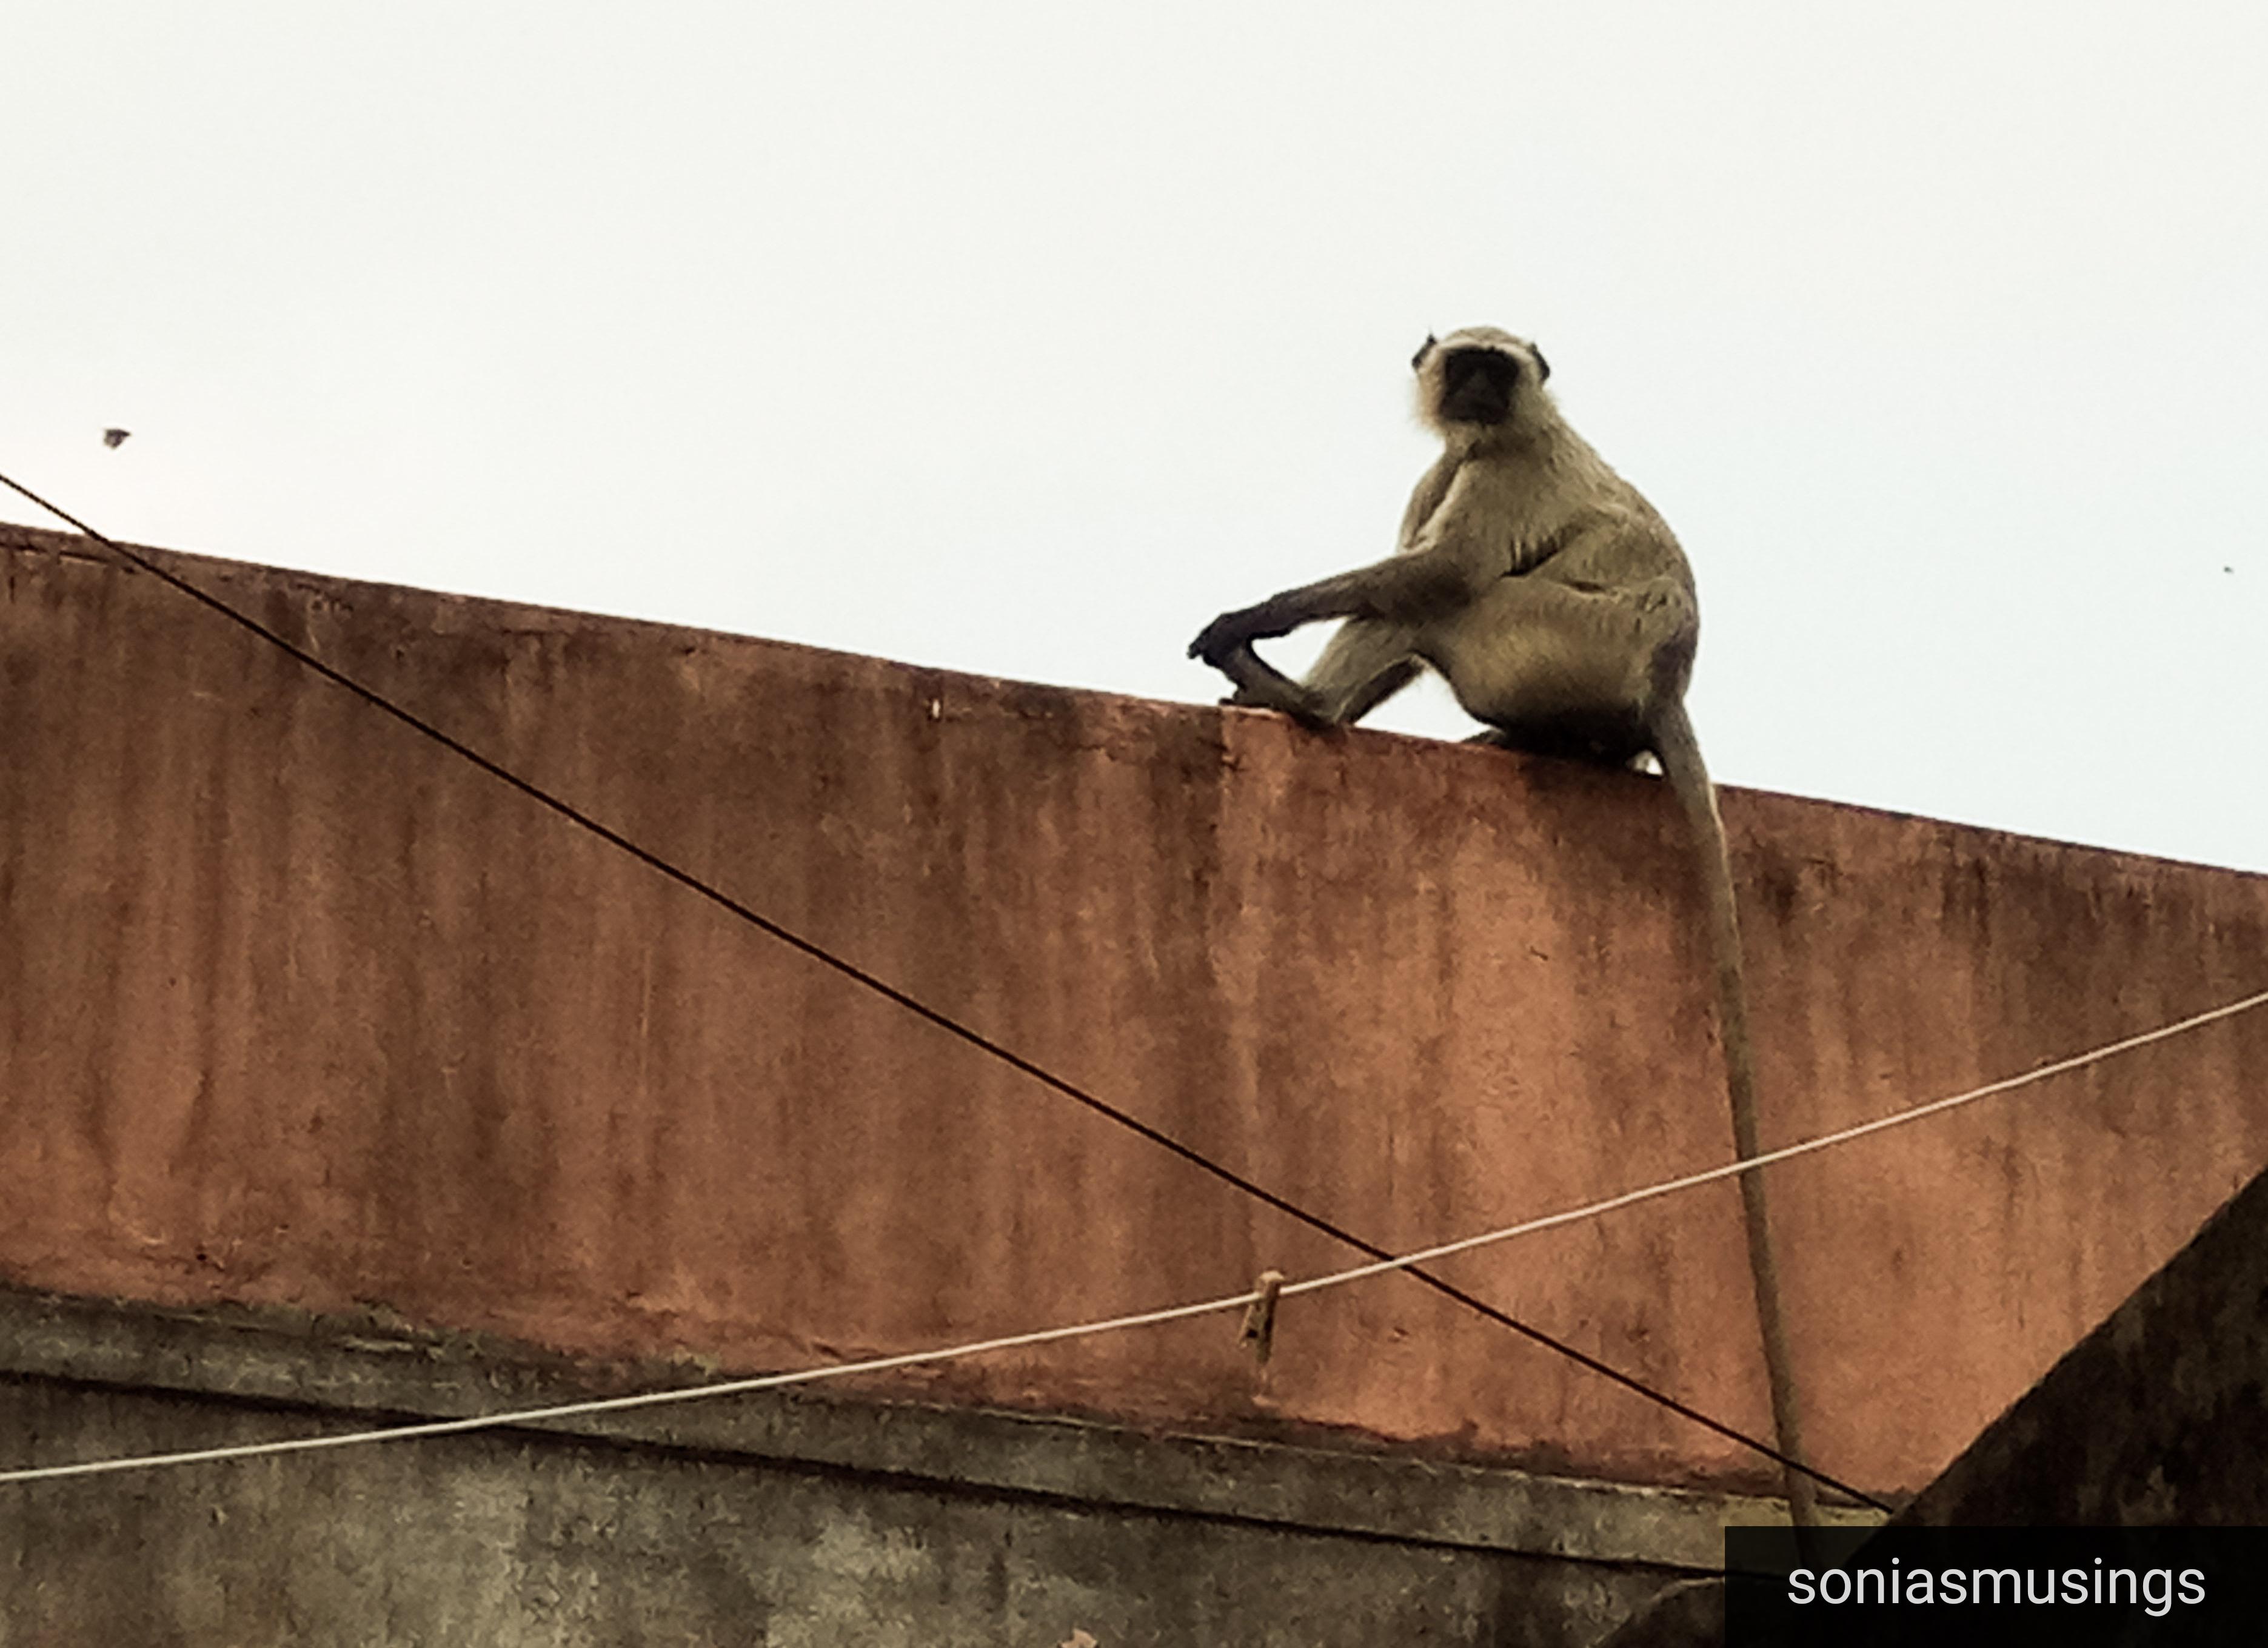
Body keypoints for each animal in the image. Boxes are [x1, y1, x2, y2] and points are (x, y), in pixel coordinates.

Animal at [1190, 327, 1821, 1531]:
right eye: (1466, 366)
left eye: (1499, 367)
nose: (1479, 389)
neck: (1498, 433)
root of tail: (1665, 677)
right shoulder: (1458, 458)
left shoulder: (1504, 469)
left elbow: (1431, 575)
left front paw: (1249, 623)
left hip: (1550, 642)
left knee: (1445, 597)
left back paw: (1306, 706)